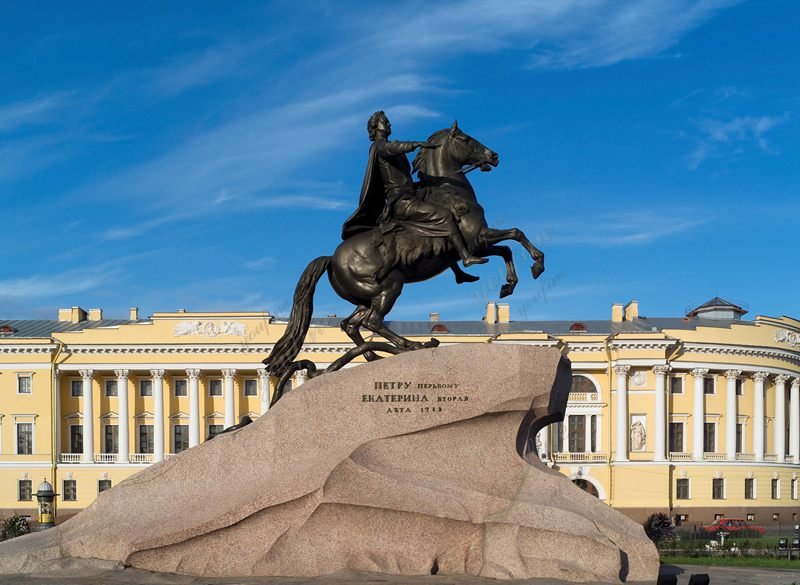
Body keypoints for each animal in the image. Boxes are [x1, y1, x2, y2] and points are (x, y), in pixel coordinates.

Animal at [266, 121, 548, 400]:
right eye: (465, 139)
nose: (494, 156)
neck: (450, 192)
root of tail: (332, 258)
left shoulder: (478, 243)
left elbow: (507, 249)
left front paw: (508, 285)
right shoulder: (477, 239)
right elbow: (515, 235)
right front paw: (537, 264)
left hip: (366, 296)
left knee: (351, 324)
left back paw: (374, 355)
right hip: (389, 285)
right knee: (371, 322)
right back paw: (410, 344)